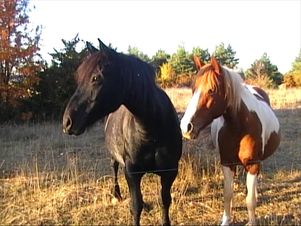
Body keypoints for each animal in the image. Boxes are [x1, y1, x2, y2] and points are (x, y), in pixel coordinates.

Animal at [62, 39, 182, 225]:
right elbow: (136, 206)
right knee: (114, 168)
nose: (67, 122)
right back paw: (116, 194)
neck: (152, 132)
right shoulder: (132, 173)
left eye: (96, 78)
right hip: (115, 157)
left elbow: (165, 201)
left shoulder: (170, 172)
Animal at [180, 57, 282, 224]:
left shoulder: (253, 164)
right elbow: (228, 194)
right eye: (193, 89)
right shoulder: (227, 164)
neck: (239, 126)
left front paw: (251, 222)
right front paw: (226, 221)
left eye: (211, 90)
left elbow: (250, 200)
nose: (186, 127)